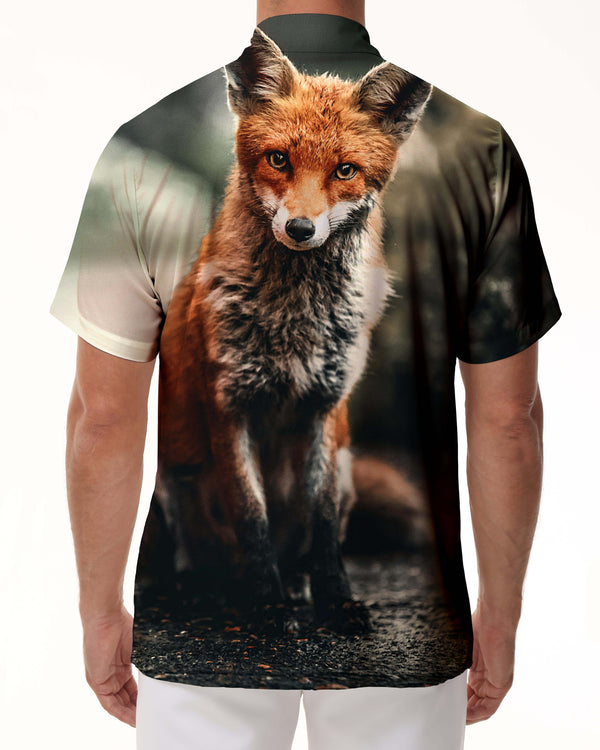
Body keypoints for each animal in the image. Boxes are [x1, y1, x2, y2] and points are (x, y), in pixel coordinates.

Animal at [145, 27, 433, 635]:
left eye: (345, 170)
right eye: (278, 159)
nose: (300, 228)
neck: (293, 320)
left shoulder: (324, 407)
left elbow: (322, 525)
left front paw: (335, 600)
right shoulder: (229, 405)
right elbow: (251, 516)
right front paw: (269, 608)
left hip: (346, 466)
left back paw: (296, 587)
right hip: (170, 474)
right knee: (197, 559)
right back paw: (207, 591)